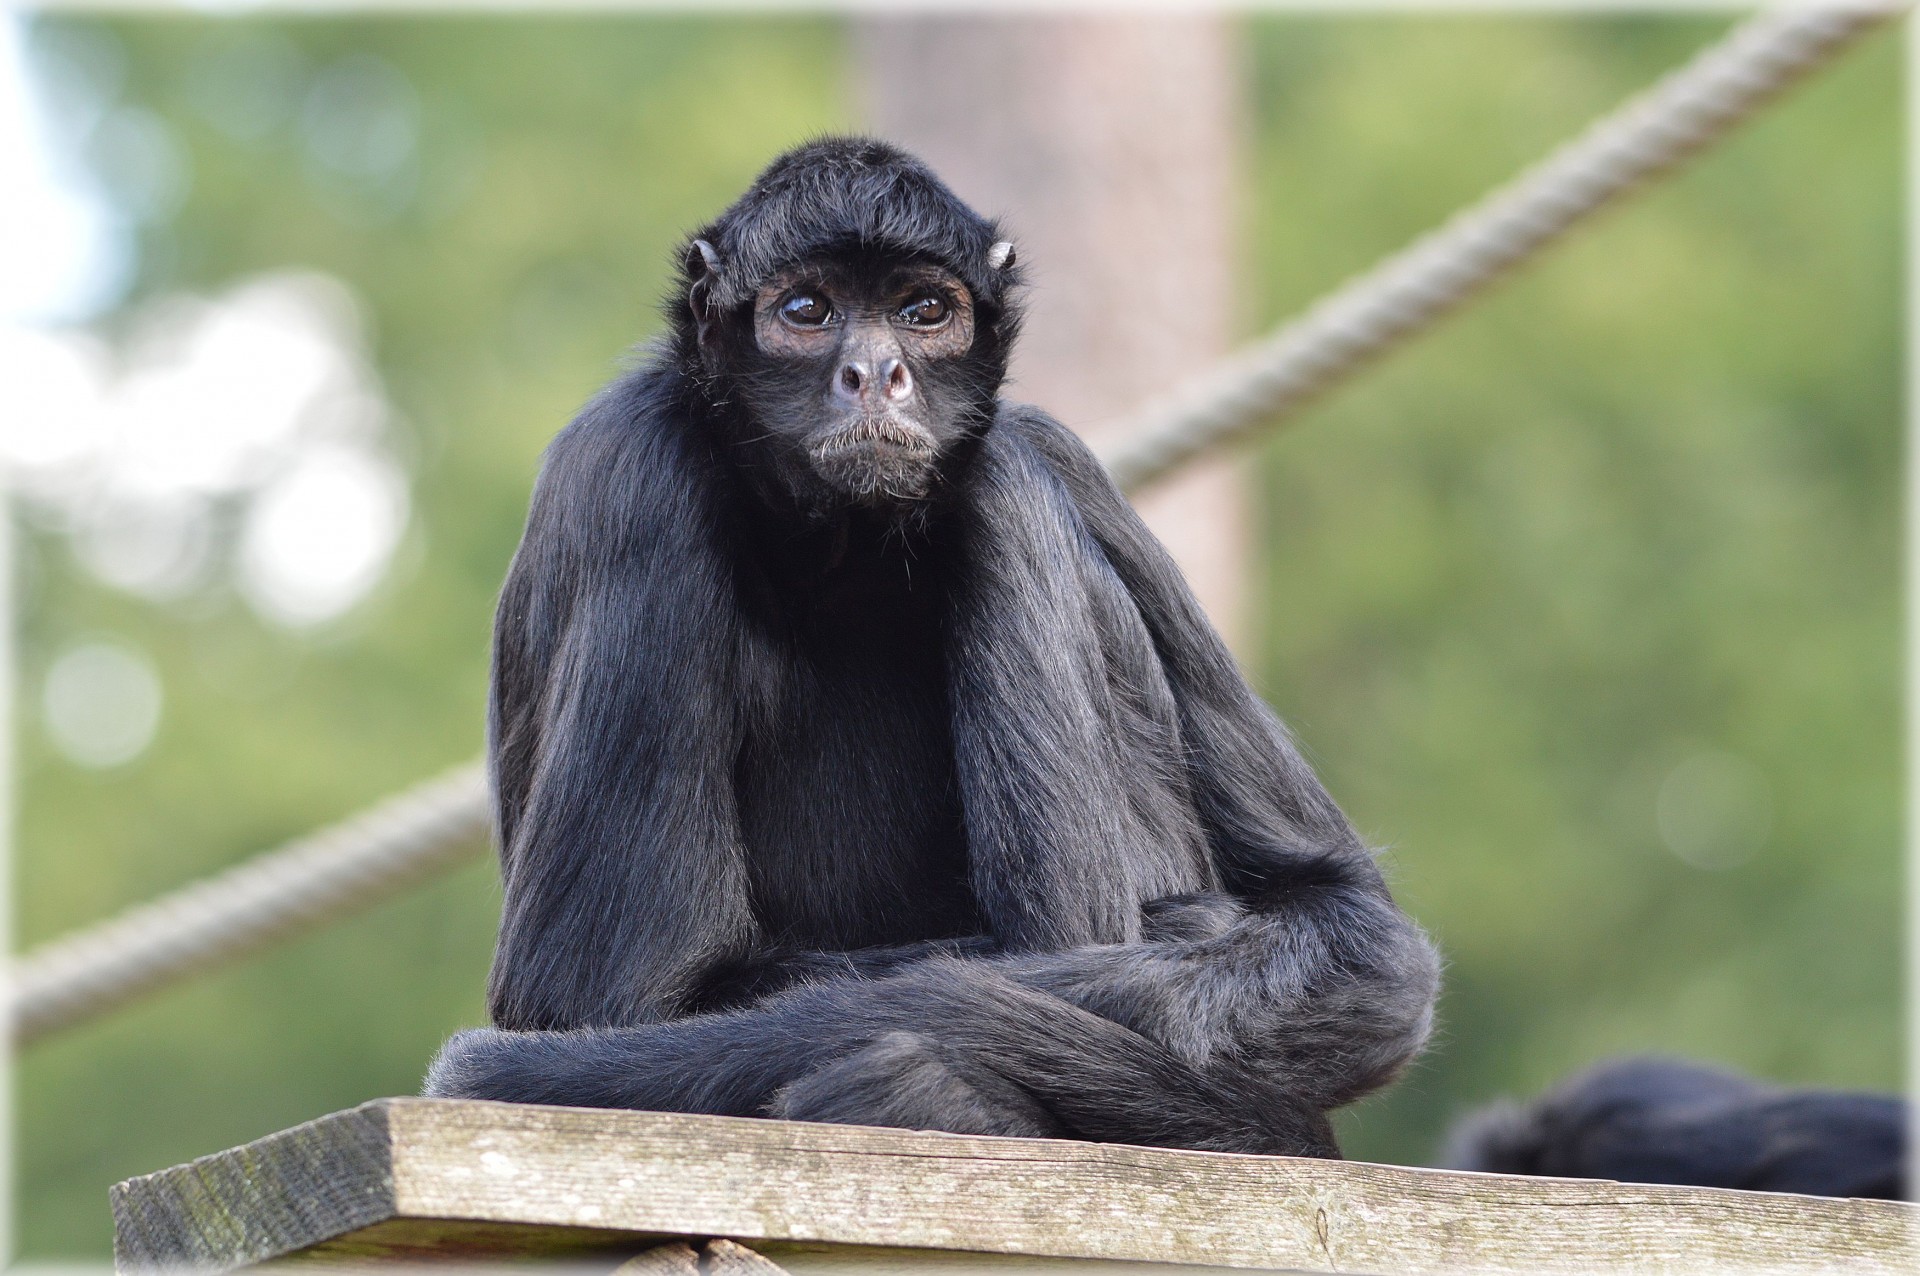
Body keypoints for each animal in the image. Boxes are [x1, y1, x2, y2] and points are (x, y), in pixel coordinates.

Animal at [424, 139, 1443, 1151]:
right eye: (807, 311)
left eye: (923, 312)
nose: (877, 372)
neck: (847, 548)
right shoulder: (632, 474)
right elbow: (604, 998)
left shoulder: (1060, 447)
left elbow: (1356, 927)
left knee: (999, 475)